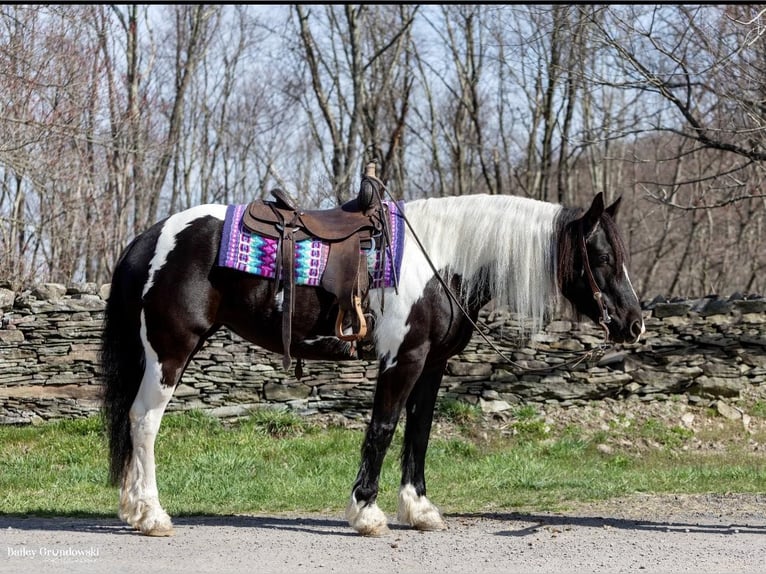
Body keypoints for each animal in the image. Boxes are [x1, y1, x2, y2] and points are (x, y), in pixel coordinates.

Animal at [100, 191, 640, 536]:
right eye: (601, 257)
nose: (634, 325)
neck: (440, 258)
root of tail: (149, 239)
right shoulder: (403, 358)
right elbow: (382, 427)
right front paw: (366, 513)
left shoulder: (433, 363)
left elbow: (418, 432)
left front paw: (419, 510)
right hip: (170, 352)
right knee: (143, 422)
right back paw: (152, 516)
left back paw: (132, 510)